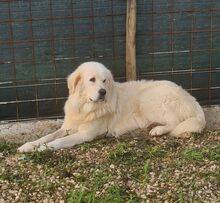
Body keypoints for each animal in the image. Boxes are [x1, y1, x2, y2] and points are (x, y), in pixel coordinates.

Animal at [17, 61, 206, 152]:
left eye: (104, 80)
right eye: (92, 80)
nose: (102, 92)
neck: (86, 108)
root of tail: (191, 98)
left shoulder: (86, 134)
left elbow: (58, 141)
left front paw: (42, 149)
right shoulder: (67, 127)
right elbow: (48, 136)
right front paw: (29, 146)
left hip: (148, 99)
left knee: (175, 123)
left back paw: (158, 130)